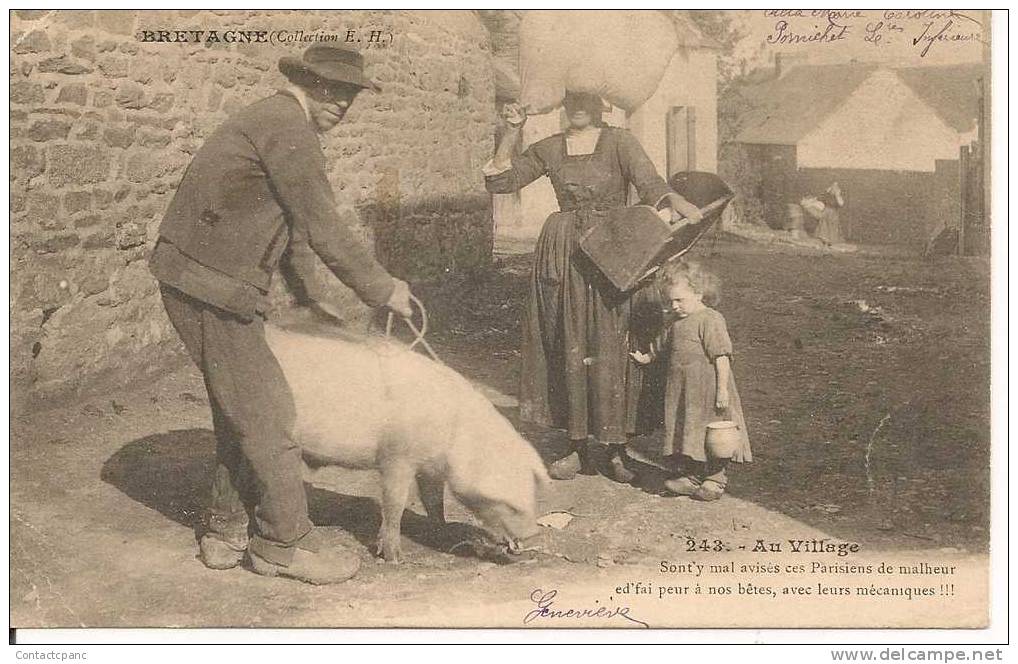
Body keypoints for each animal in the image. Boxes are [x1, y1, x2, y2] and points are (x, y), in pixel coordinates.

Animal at [262, 323, 549, 562]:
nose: (534, 533)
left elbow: (433, 501)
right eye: (509, 503)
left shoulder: (430, 469)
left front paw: (441, 532)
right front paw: (394, 558)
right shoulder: (396, 457)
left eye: (531, 492)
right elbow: (394, 503)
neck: (453, 436)